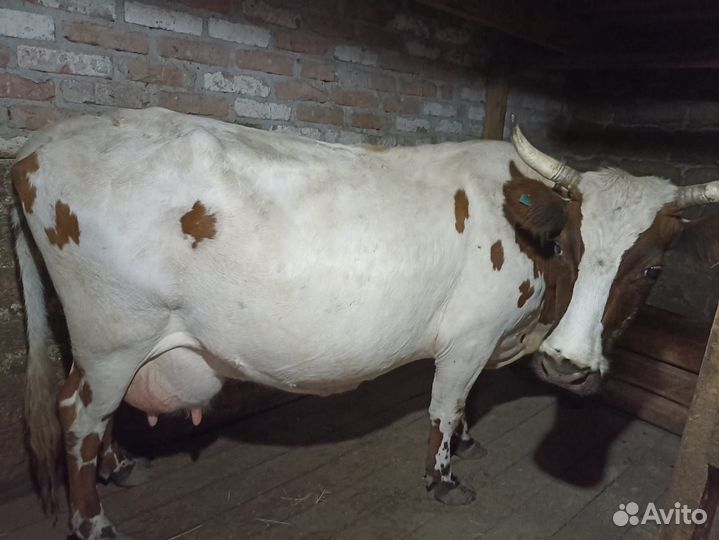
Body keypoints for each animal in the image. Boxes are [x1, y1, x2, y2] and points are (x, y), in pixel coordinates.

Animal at [10, 107, 718, 539]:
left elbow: (467, 402)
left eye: (652, 269)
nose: (566, 366)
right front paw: (444, 478)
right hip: (115, 333)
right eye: (569, 246)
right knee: (78, 414)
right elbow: (445, 403)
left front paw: (468, 442)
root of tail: (36, 145)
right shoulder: (469, 334)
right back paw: (94, 520)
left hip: (107, 342)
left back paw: (120, 465)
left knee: (95, 413)